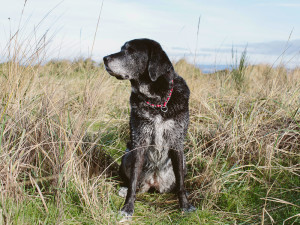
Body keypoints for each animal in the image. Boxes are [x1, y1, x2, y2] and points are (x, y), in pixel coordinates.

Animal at [103, 38, 197, 216]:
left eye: (131, 51)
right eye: (121, 48)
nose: (105, 58)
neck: (157, 101)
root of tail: (154, 183)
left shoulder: (176, 142)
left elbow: (181, 183)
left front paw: (185, 205)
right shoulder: (139, 142)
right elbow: (133, 182)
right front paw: (127, 207)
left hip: (184, 162)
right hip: (127, 155)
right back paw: (124, 189)